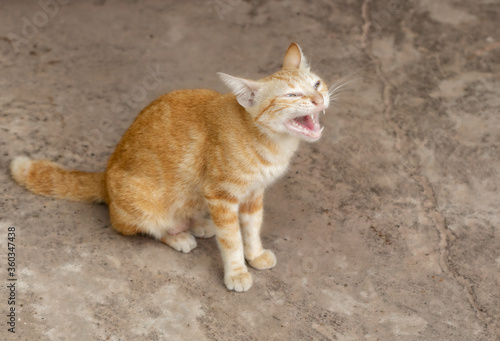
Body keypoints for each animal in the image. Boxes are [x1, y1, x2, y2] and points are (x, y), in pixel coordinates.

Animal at [9, 42, 330, 290]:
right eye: (292, 95)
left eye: (316, 84)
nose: (319, 98)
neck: (271, 143)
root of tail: (105, 176)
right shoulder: (220, 196)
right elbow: (231, 240)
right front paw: (237, 272)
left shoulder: (252, 195)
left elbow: (251, 230)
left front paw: (255, 254)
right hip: (140, 206)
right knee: (147, 227)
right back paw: (179, 236)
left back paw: (199, 223)